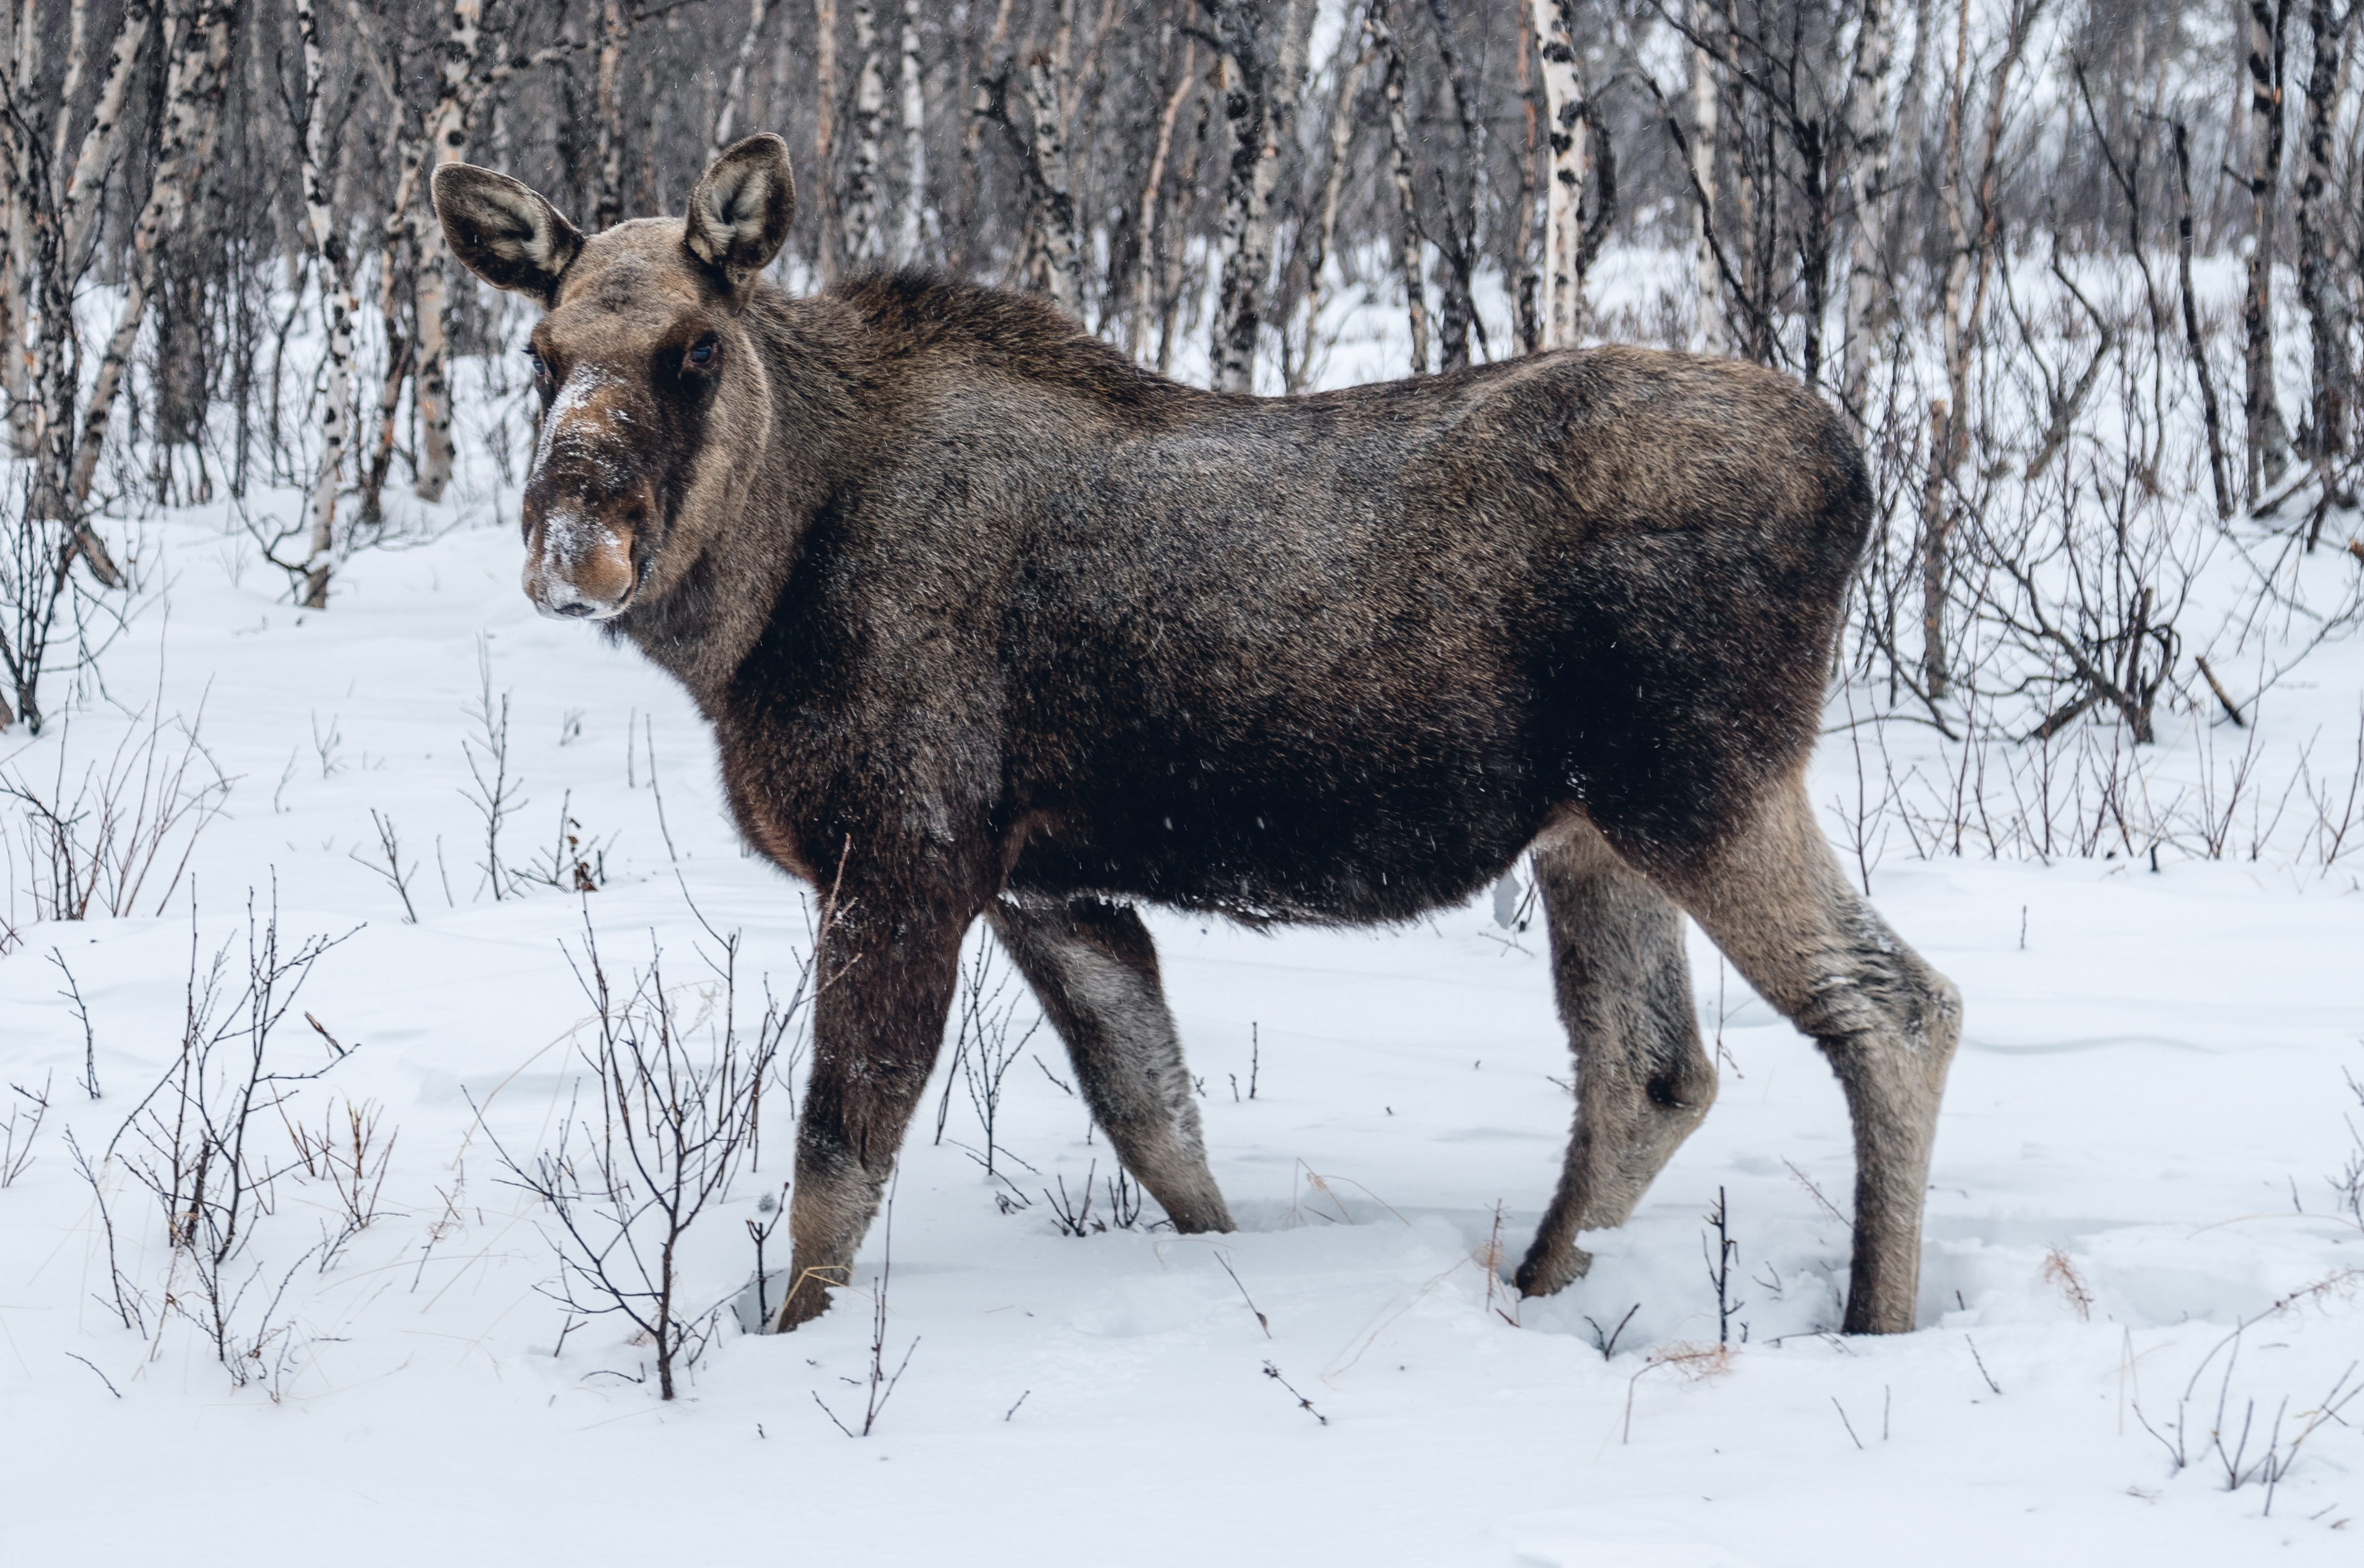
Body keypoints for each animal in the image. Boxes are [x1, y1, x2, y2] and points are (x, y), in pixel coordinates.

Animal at [439, 138, 1957, 1333]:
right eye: (540, 353)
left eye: (695, 349)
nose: (575, 545)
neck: (754, 609)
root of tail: (1854, 471)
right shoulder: (1049, 886)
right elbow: (1160, 1124)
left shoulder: (905, 856)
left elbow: (833, 1170)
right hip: (1592, 831)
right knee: (1650, 1073)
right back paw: (1533, 1293)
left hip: (1698, 781)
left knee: (1892, 1006)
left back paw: (1871, 1321)